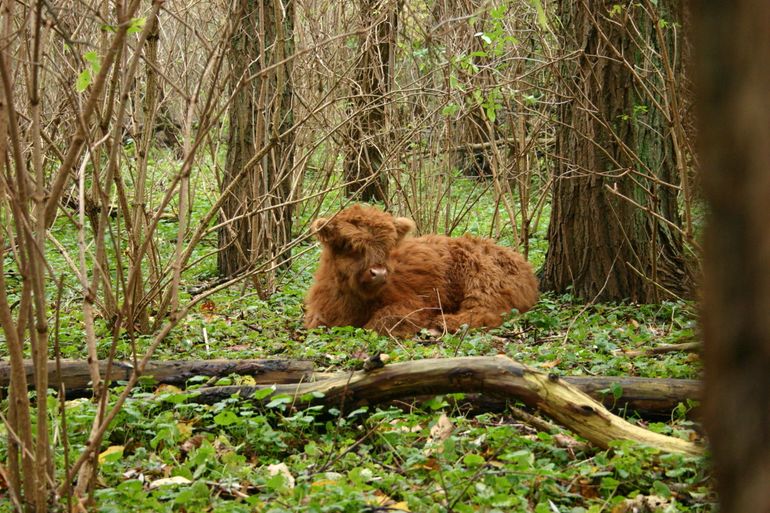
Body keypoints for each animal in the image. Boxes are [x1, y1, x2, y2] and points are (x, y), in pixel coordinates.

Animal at [304, 204, 536, 336]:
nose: (379, 273)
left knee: (487, 312)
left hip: (483, 281)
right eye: (350, 245)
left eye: (387, 246)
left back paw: (442, 323)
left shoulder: (416, 302)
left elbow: (384, 320)